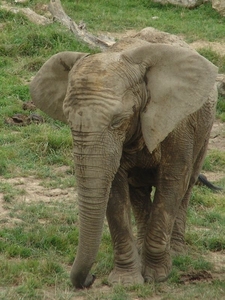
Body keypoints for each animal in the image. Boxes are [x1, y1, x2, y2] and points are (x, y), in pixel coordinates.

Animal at [29, 29, 218, 290]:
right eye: (67, 119)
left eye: (118, 121)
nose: (90, 278)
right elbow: (115, 191)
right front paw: (126, 282)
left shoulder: (178, 127)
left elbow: (172, 183)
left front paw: (157, 276)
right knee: (138, 191)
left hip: (204, 129)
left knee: (187, 185)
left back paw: (177, 253)